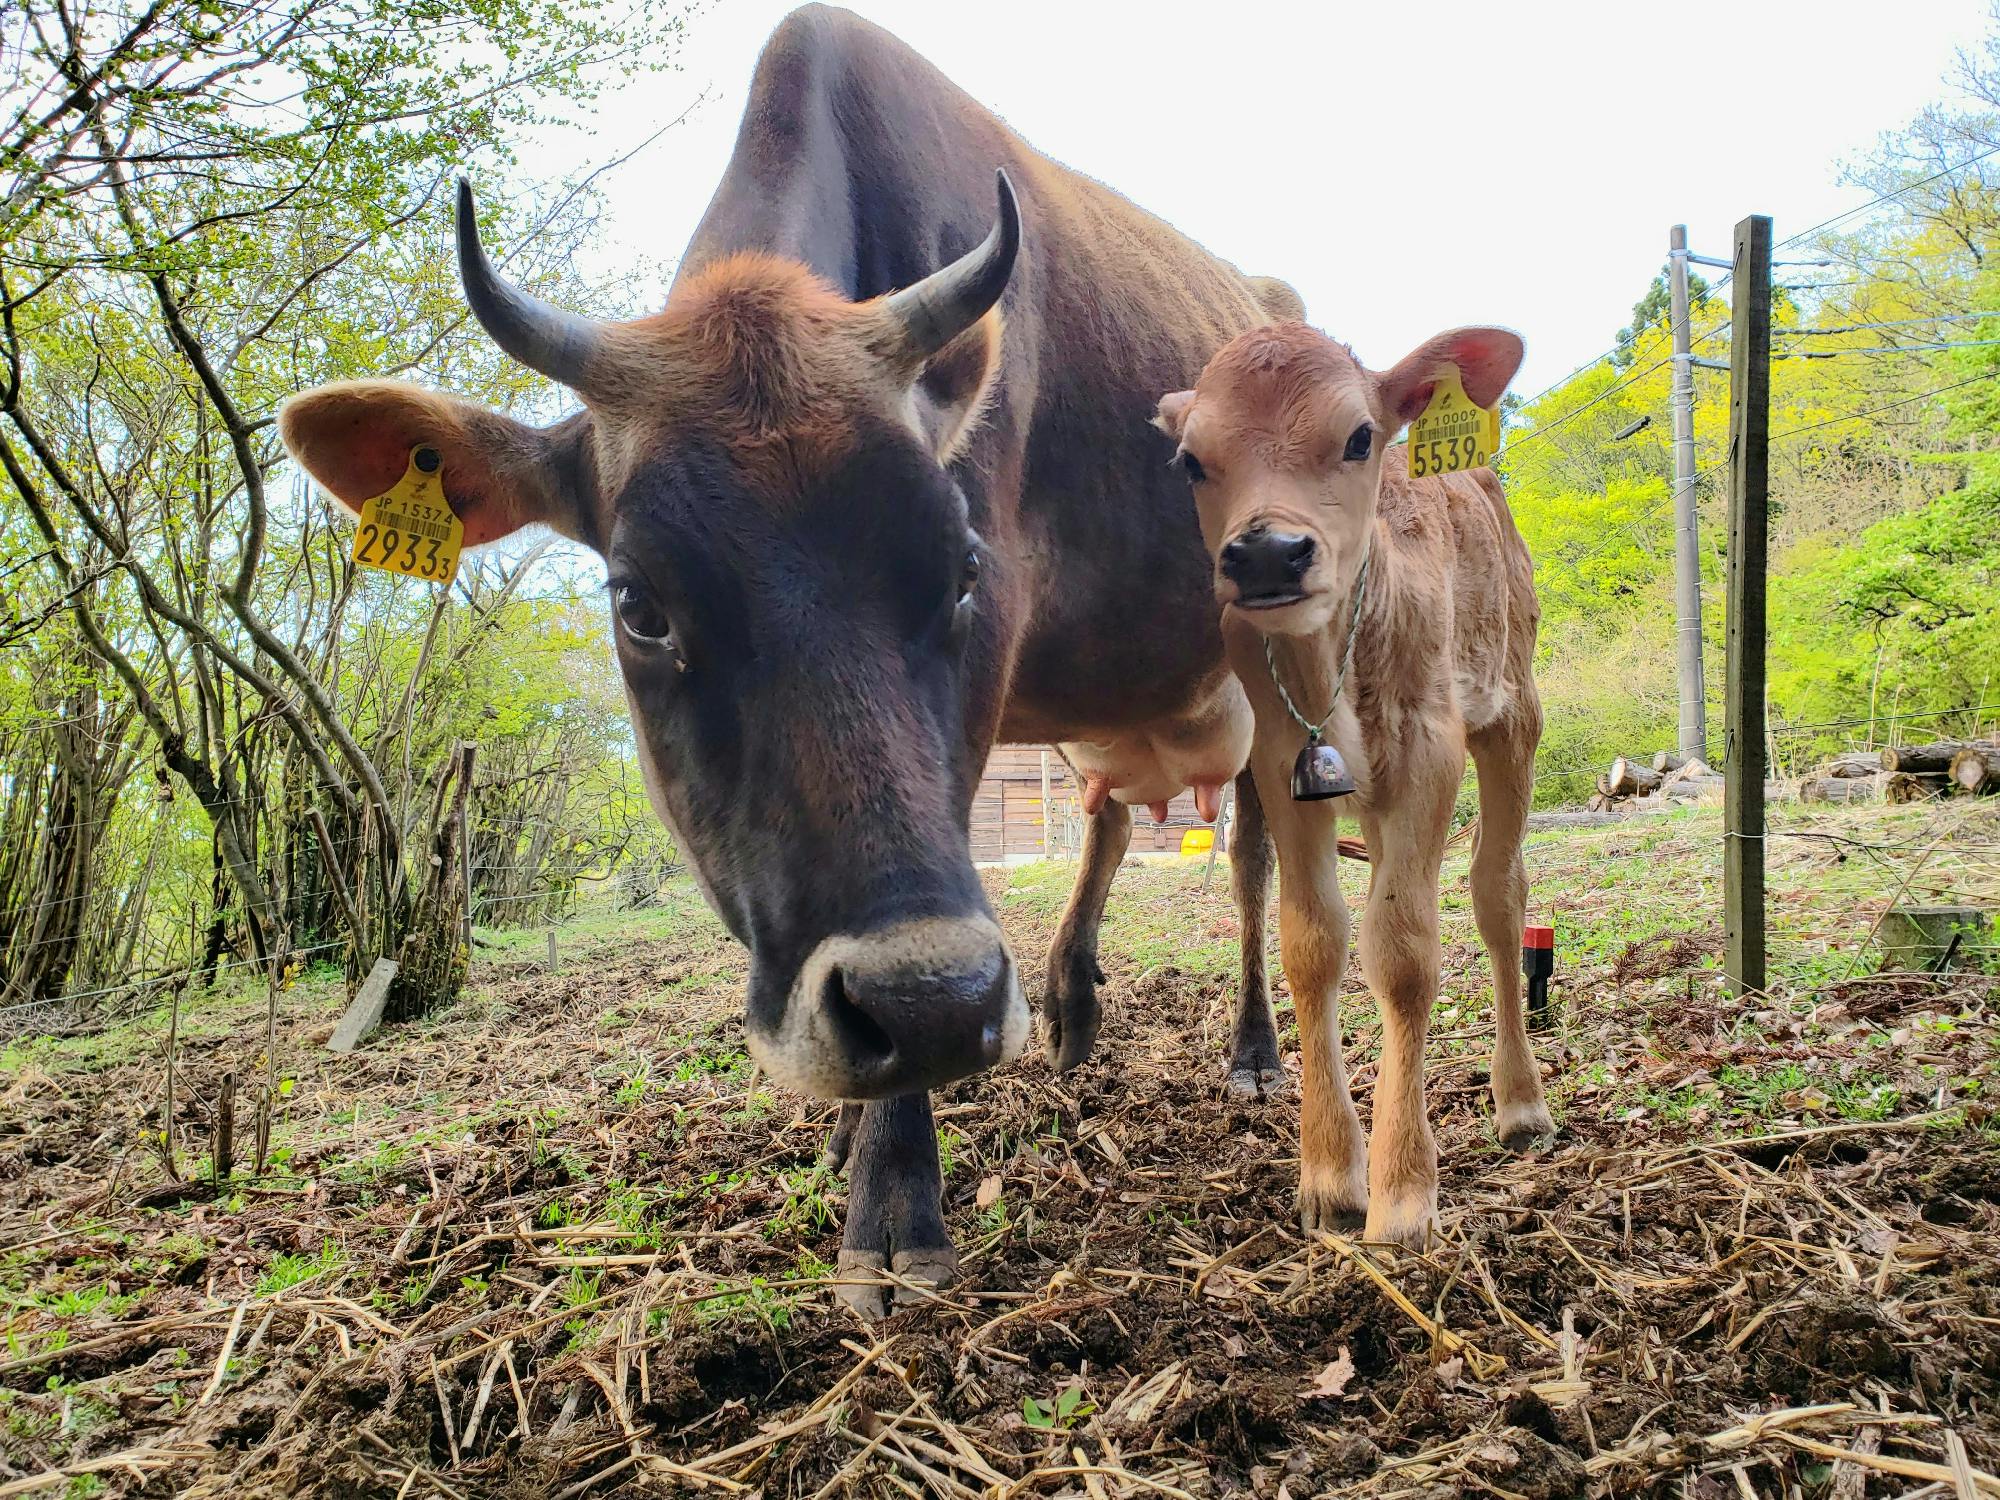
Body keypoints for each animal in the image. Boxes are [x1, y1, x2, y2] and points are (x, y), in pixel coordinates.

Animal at [1160, 326, 1560, 1248]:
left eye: (1358, 437)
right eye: (1191, 460)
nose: (1266, 551)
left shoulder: (1429, 747)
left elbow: (1405, 955)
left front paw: (1404, 1191)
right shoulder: (1281, 763)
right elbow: (1314, 945)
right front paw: (1329, 1176)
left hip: (1513, 709)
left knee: (1498, 892)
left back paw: (1521, 1101)